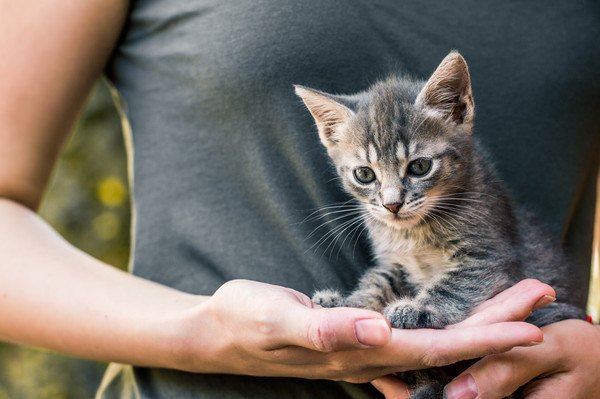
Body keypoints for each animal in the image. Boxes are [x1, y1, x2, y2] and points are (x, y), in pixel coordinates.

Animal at [296, 51, 584, 398]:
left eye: (420, 167)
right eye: (364, 174)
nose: (392, 204)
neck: (413, 233)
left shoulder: (488, 255)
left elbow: (454, 284)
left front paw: (419, 309)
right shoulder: (394, 262)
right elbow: (377, 281)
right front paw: (349, 302)